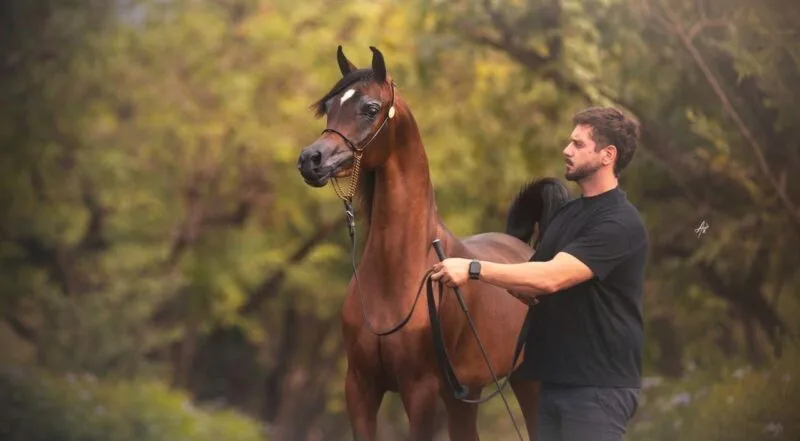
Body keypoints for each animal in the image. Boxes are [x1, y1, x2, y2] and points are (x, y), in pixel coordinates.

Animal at [296, 45, 569, 441]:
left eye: (371, 108)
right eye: (329, 106)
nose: (310, 160)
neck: (397, 277)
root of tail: (523, 247)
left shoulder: (419, 390)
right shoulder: (360, 387)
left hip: (526, 383)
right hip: (464, 395)